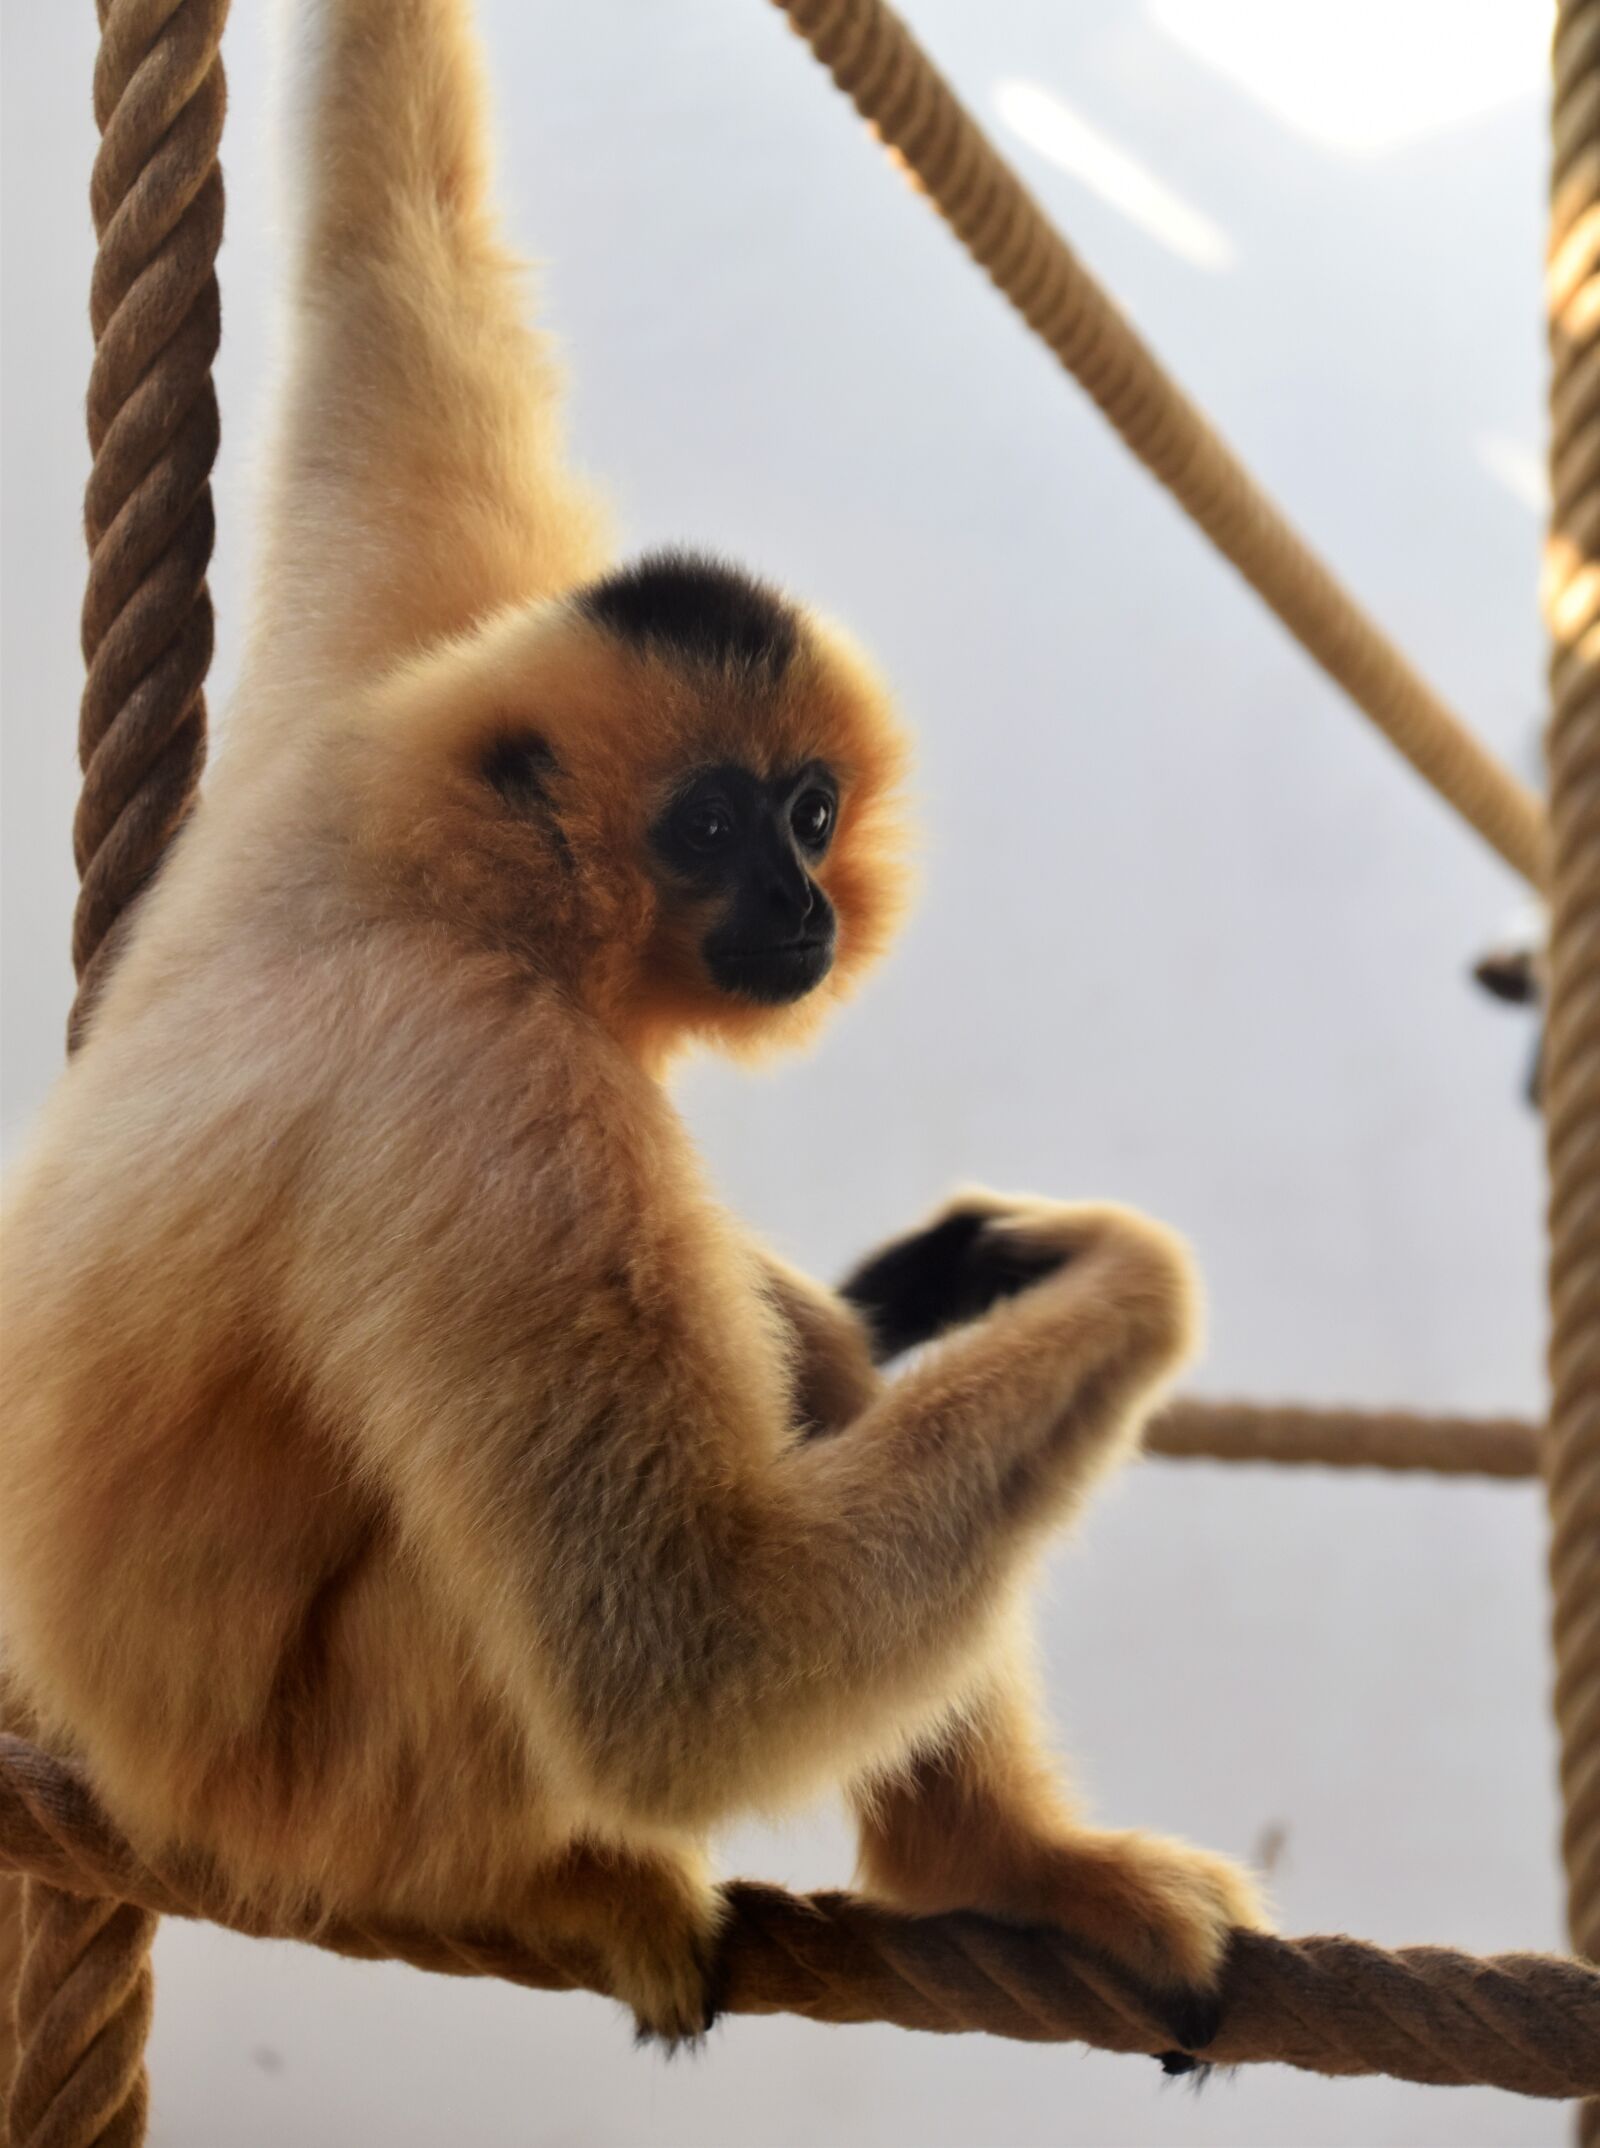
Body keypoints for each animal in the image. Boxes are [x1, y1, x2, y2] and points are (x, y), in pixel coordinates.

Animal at [0, 0, 1266, 2059]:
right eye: (708, 829)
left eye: (810, 809)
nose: (804, 903)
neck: (446, 866)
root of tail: (114, 1762)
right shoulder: (491, 1098)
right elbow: (679, 1659)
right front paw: (1124, 1279)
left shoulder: (383, 667)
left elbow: (396, 256)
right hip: (331, 1796)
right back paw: (568, 1880)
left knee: (793, 1345)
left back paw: (1006, 1868)